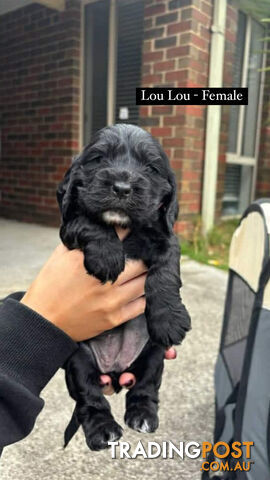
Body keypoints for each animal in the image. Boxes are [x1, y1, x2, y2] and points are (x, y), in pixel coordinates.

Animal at [58, 123, 191, 450]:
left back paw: (143, 415)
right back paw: (103, 430)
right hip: (79, 359)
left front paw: (169, 318)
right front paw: (107, 256)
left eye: (151, 168)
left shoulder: (165, 234)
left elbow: (166, 268)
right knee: (89, 399)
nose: (121, 187)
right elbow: (88, 221)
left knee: (145, 387)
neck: (125, 228)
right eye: (98, 158)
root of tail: (116, 372)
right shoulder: (69, 227)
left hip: (154, 352)